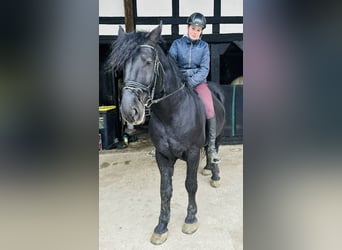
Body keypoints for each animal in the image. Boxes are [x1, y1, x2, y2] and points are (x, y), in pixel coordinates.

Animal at [107, 24, 224, 244]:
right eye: (124, 65)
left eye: (148, 62)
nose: (129, 111)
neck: (172, 113)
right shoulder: (162, 156)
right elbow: (165, 191)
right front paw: (161, 226)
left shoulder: (192, 153)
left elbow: (190, 185)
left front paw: (190, 218)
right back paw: (207, 169)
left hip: (219, 137)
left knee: (214, 149)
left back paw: (214, 175)